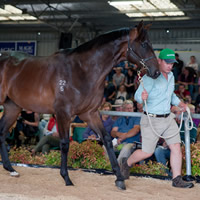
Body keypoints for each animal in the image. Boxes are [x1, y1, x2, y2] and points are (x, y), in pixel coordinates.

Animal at [0, 21, 159, 190]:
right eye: (144, 44)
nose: (156, 72)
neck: (81, 70)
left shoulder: (90, 113)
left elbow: (107, 140)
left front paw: (119, 178)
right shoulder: (63, 113)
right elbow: (64, 144)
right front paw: (66, 178)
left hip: (13, 108)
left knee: (2, 133)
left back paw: (10, 169)